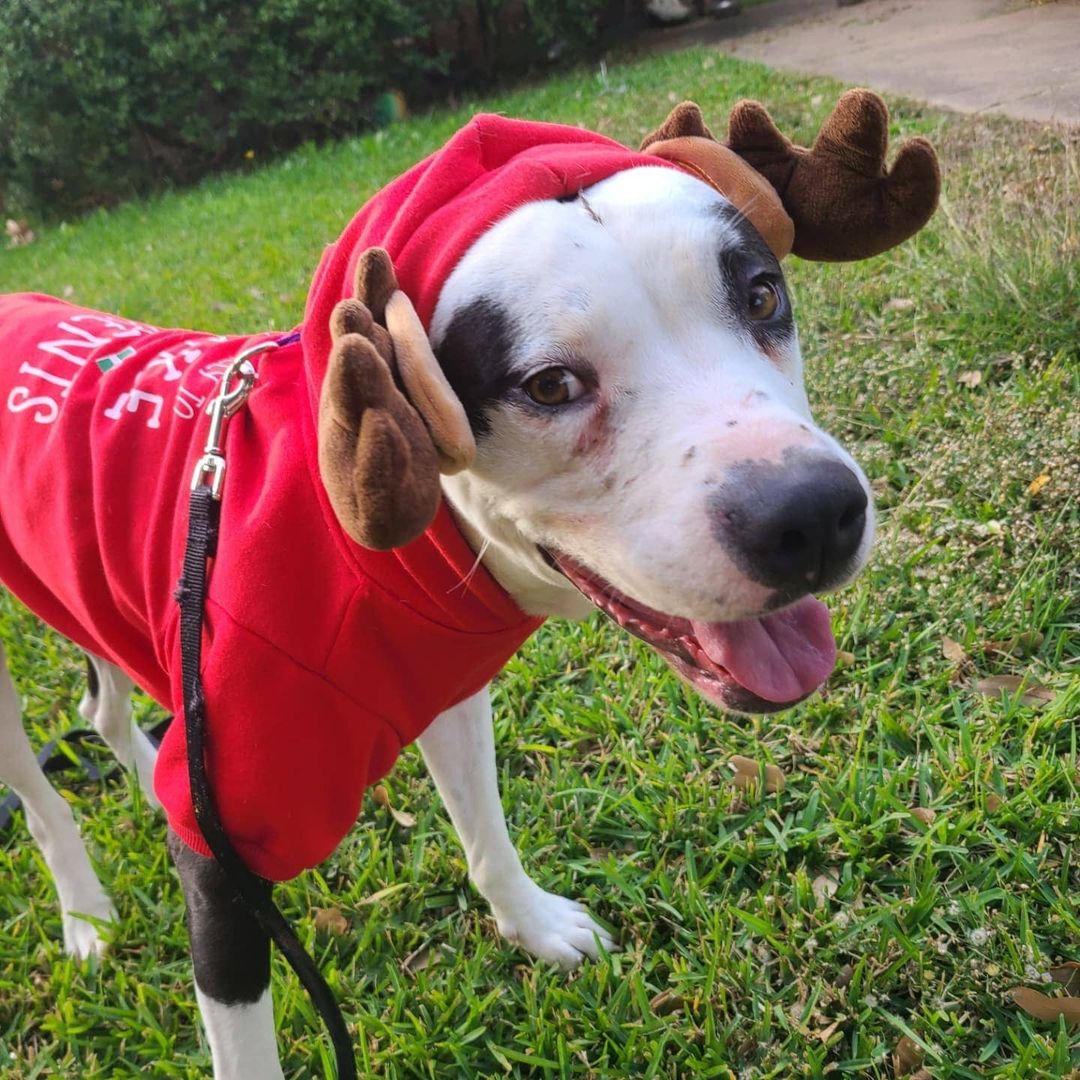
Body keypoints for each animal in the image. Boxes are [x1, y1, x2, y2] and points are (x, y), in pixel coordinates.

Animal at [0, 97, 937, 1075]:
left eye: (760, 295)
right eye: (550, 384)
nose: (812, 516)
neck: (363, 552)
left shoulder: (444, 691)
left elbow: (484, 830)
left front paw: (533, 927)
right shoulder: (229, 854)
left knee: (102, 707)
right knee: (38, 796)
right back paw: (85, 915)